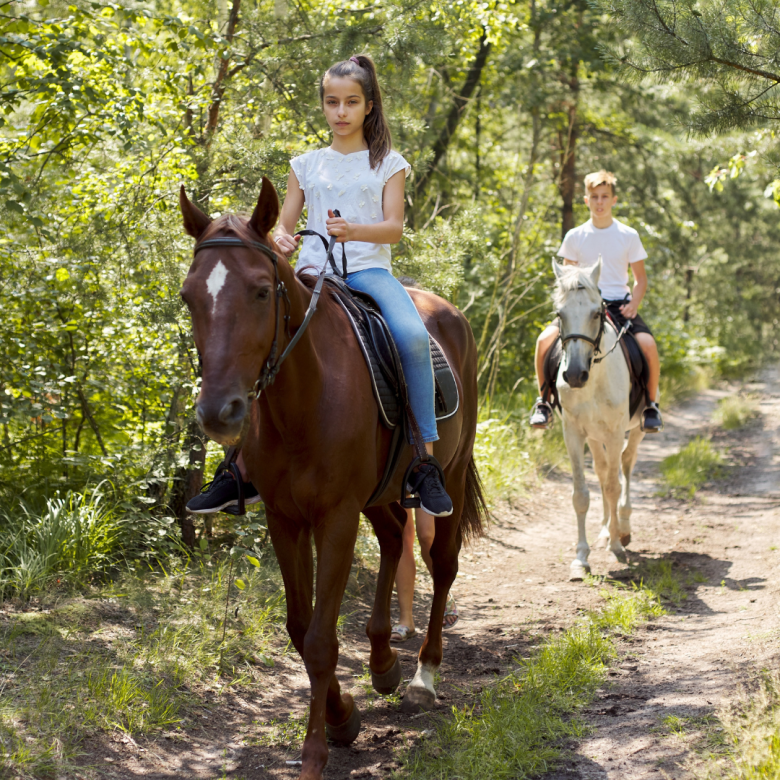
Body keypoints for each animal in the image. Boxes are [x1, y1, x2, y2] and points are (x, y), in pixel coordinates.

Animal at [181, 178, 488, 780]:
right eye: (189, 296)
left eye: (260, 292)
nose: (218, 412)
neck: (305, 397)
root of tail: (452, 314)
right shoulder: (286, 519)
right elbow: (300, 629)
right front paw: (344, 716)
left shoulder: (336, 517)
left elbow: (322, 638)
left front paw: (316, 752)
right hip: (380, 493)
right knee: (393, 538)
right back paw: (384, 662)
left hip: (450, 474)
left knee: (442, 564)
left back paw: (423, 676)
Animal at [556, 258, 644, 580]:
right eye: (559, 314)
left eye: (596, 313)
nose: (574, 375)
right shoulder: (573, 433)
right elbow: (582, 493)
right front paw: (581, 558)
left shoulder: (616, 432)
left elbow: (613, 486)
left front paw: (618, 546)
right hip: (594, 437)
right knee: (604, 470)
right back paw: (607, 530)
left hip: (637, 428)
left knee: (625, 465)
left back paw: (623, 528)